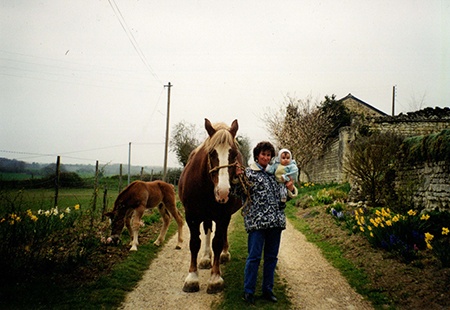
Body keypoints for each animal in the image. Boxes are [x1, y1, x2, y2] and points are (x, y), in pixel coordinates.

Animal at [178, 118, 244, 294]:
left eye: (234, 154)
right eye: (211, 153)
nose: (223, 191)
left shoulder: (223, 216)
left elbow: (218, 242)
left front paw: (215, 279)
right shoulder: (191, 216)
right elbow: (195, 243)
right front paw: (192, 278)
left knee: (222, 234)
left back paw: (224, 254)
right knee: (207, 229)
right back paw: (206, 258)